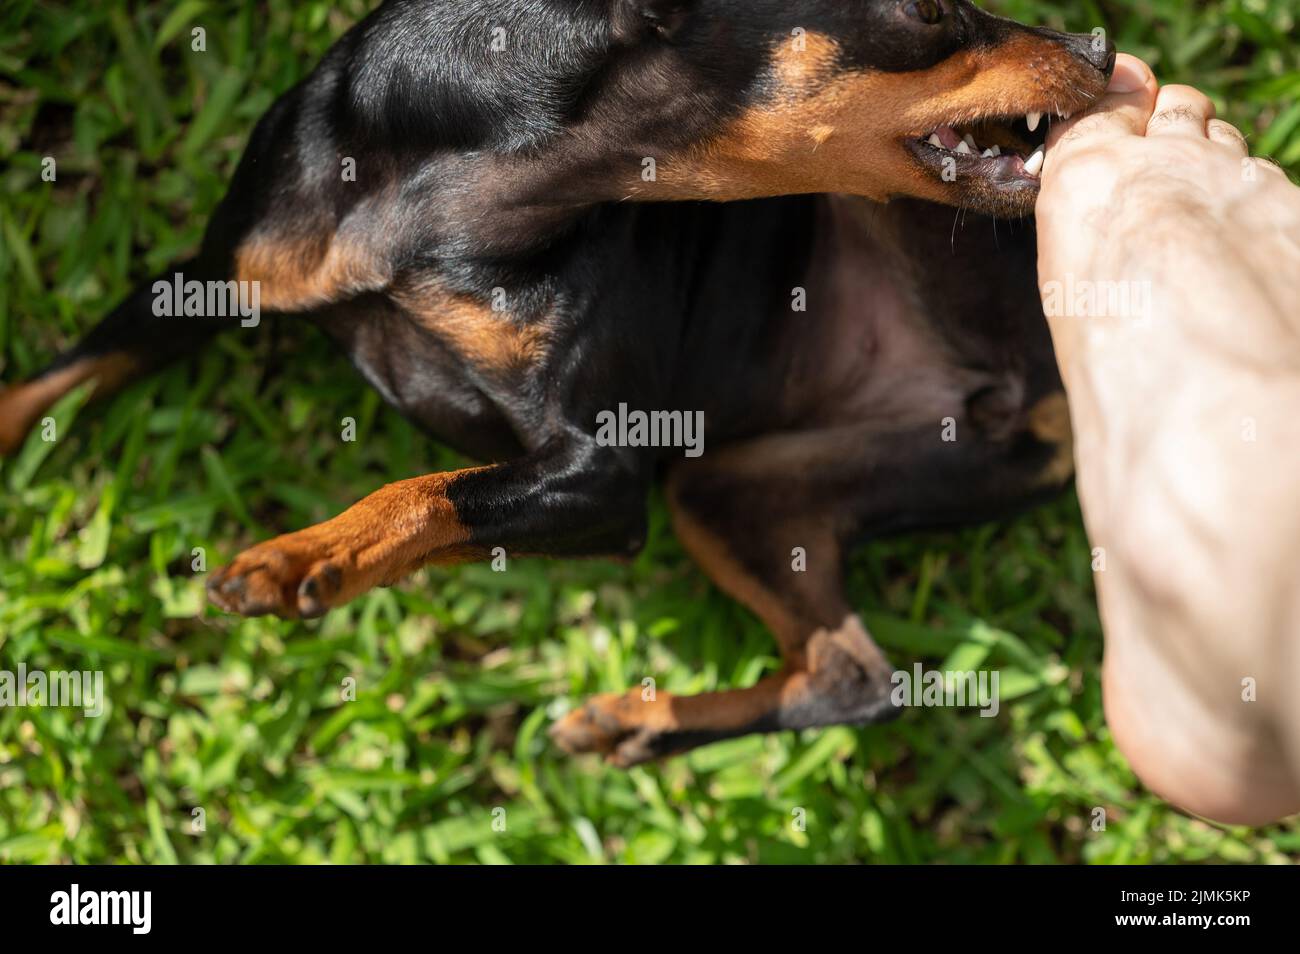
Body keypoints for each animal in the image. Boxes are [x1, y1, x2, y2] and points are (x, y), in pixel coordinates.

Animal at [2, 0, 1118, 764]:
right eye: (926, 9)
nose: (1103, 46)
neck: (461, 190)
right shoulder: (203, 279)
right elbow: (59, 374)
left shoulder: (605, 477)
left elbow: (427, 495)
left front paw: (305, 554)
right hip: (731, 489)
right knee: (853, 677)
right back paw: (640, 728)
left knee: (861, 682)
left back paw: (635, 723)